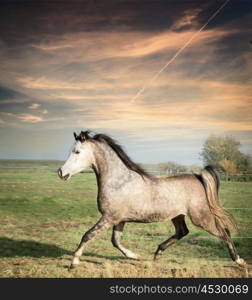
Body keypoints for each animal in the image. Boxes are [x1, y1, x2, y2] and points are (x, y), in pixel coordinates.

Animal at [57, 131, 246, 270]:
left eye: (77, 152)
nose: (61, 172)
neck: (119, 181)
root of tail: (198, 177)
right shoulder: (119, 219)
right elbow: (115, 241)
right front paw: (136, 256)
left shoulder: (109, 217)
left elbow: (87, 235)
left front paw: (73, 263)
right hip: (178, 215)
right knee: (182, 232)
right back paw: (157, 253)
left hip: (201, 217)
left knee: (224, 232)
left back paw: (239, 261)